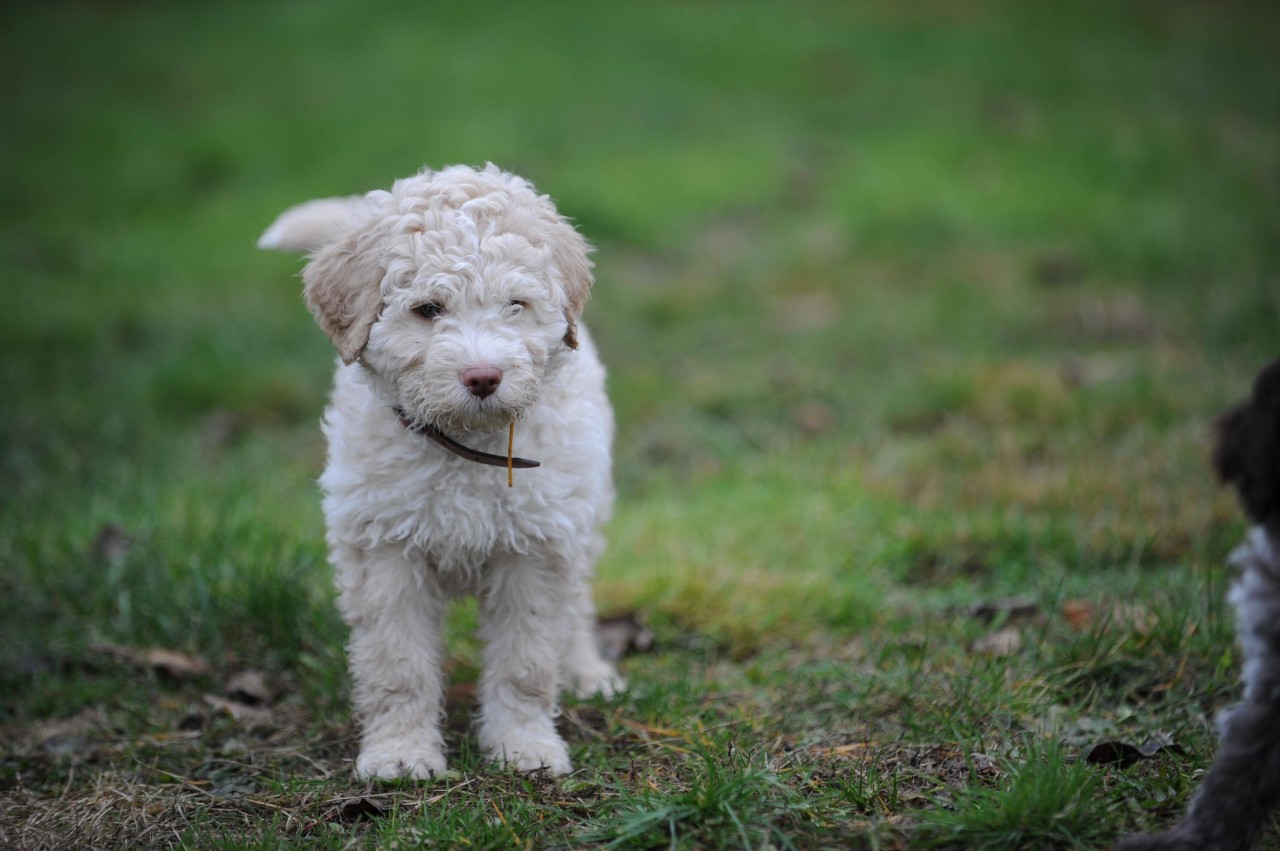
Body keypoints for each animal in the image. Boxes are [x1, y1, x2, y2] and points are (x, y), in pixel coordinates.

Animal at [258, 161, 619, 778]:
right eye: (428, 309)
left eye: (516, 304)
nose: (483, 376)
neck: (466, 446)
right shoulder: (384, 551)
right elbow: (397, 665)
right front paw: (400, 754)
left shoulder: (537, 547)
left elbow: (526, 661)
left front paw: (524, 746)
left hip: (583, 511)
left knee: (577, 605)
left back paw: (585, 670)